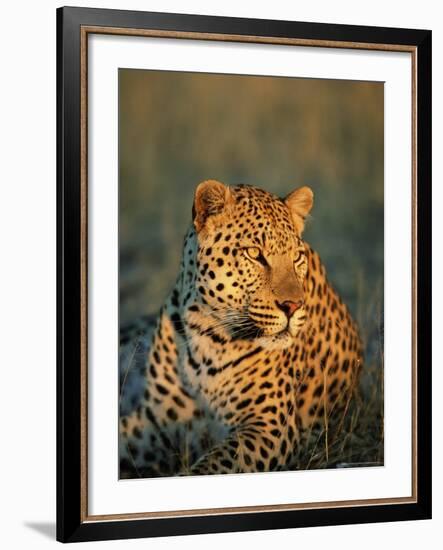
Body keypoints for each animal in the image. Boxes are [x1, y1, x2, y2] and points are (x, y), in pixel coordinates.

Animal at [119, 181, 362, 478]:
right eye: (255, 254)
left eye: (297, 257)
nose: (293, 306)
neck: (207, 331)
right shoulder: (155, 419)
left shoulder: (269, 425)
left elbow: (213, 465)